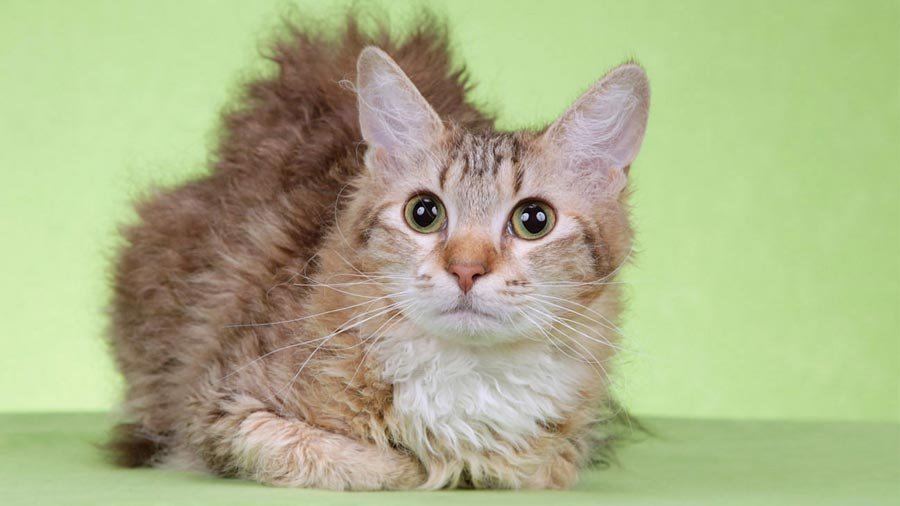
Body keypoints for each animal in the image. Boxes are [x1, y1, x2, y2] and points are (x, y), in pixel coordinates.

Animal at [109, 12, 652, 490]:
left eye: (534, 220)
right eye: (424, 213)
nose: (466, 270)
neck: (465, 373)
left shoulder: (563, 452)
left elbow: (528, 467)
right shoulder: (221, 406)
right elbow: (370, 462)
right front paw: (428, 467)